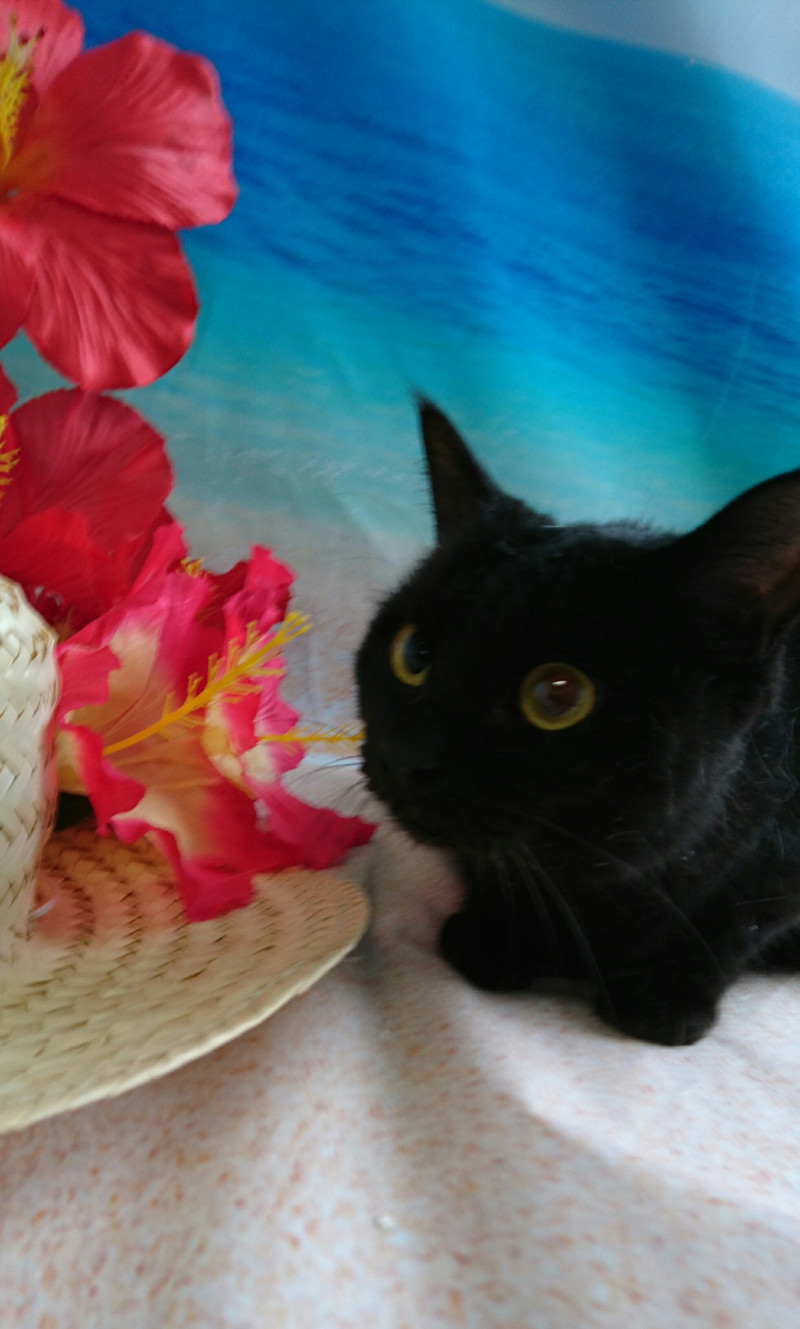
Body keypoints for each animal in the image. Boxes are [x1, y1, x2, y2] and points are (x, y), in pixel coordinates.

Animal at [356, 399, 800, 1045]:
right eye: (414, 654)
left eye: (557, 696)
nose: (406, 752)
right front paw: (498, 939)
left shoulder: (780, 867)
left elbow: (735, 921)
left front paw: (664, 996)